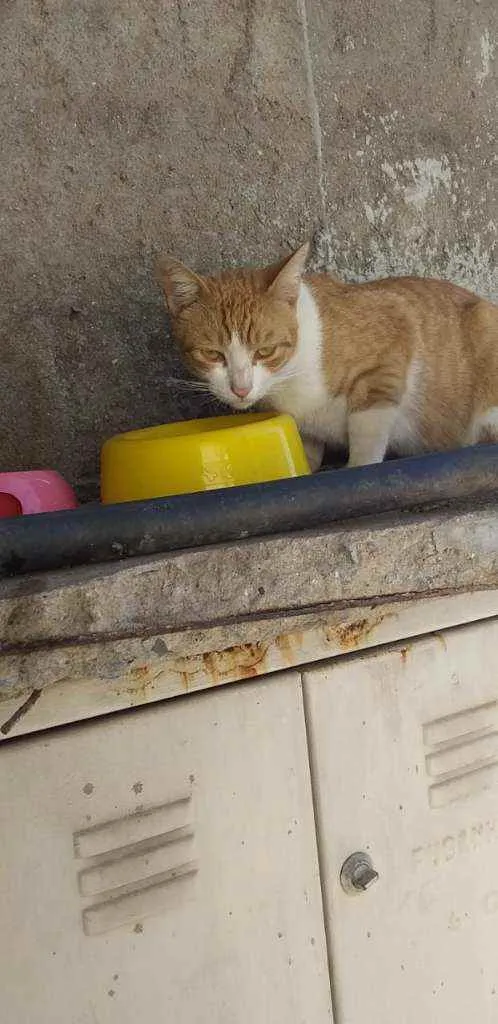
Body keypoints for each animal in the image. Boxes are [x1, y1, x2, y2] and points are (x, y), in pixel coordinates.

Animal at [155, 243, 498, 471]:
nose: (241, 388)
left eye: (264, 351)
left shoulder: (390, 343)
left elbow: (367, 430)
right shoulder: (303, 427)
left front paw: (357, 466)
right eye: (212, 354)